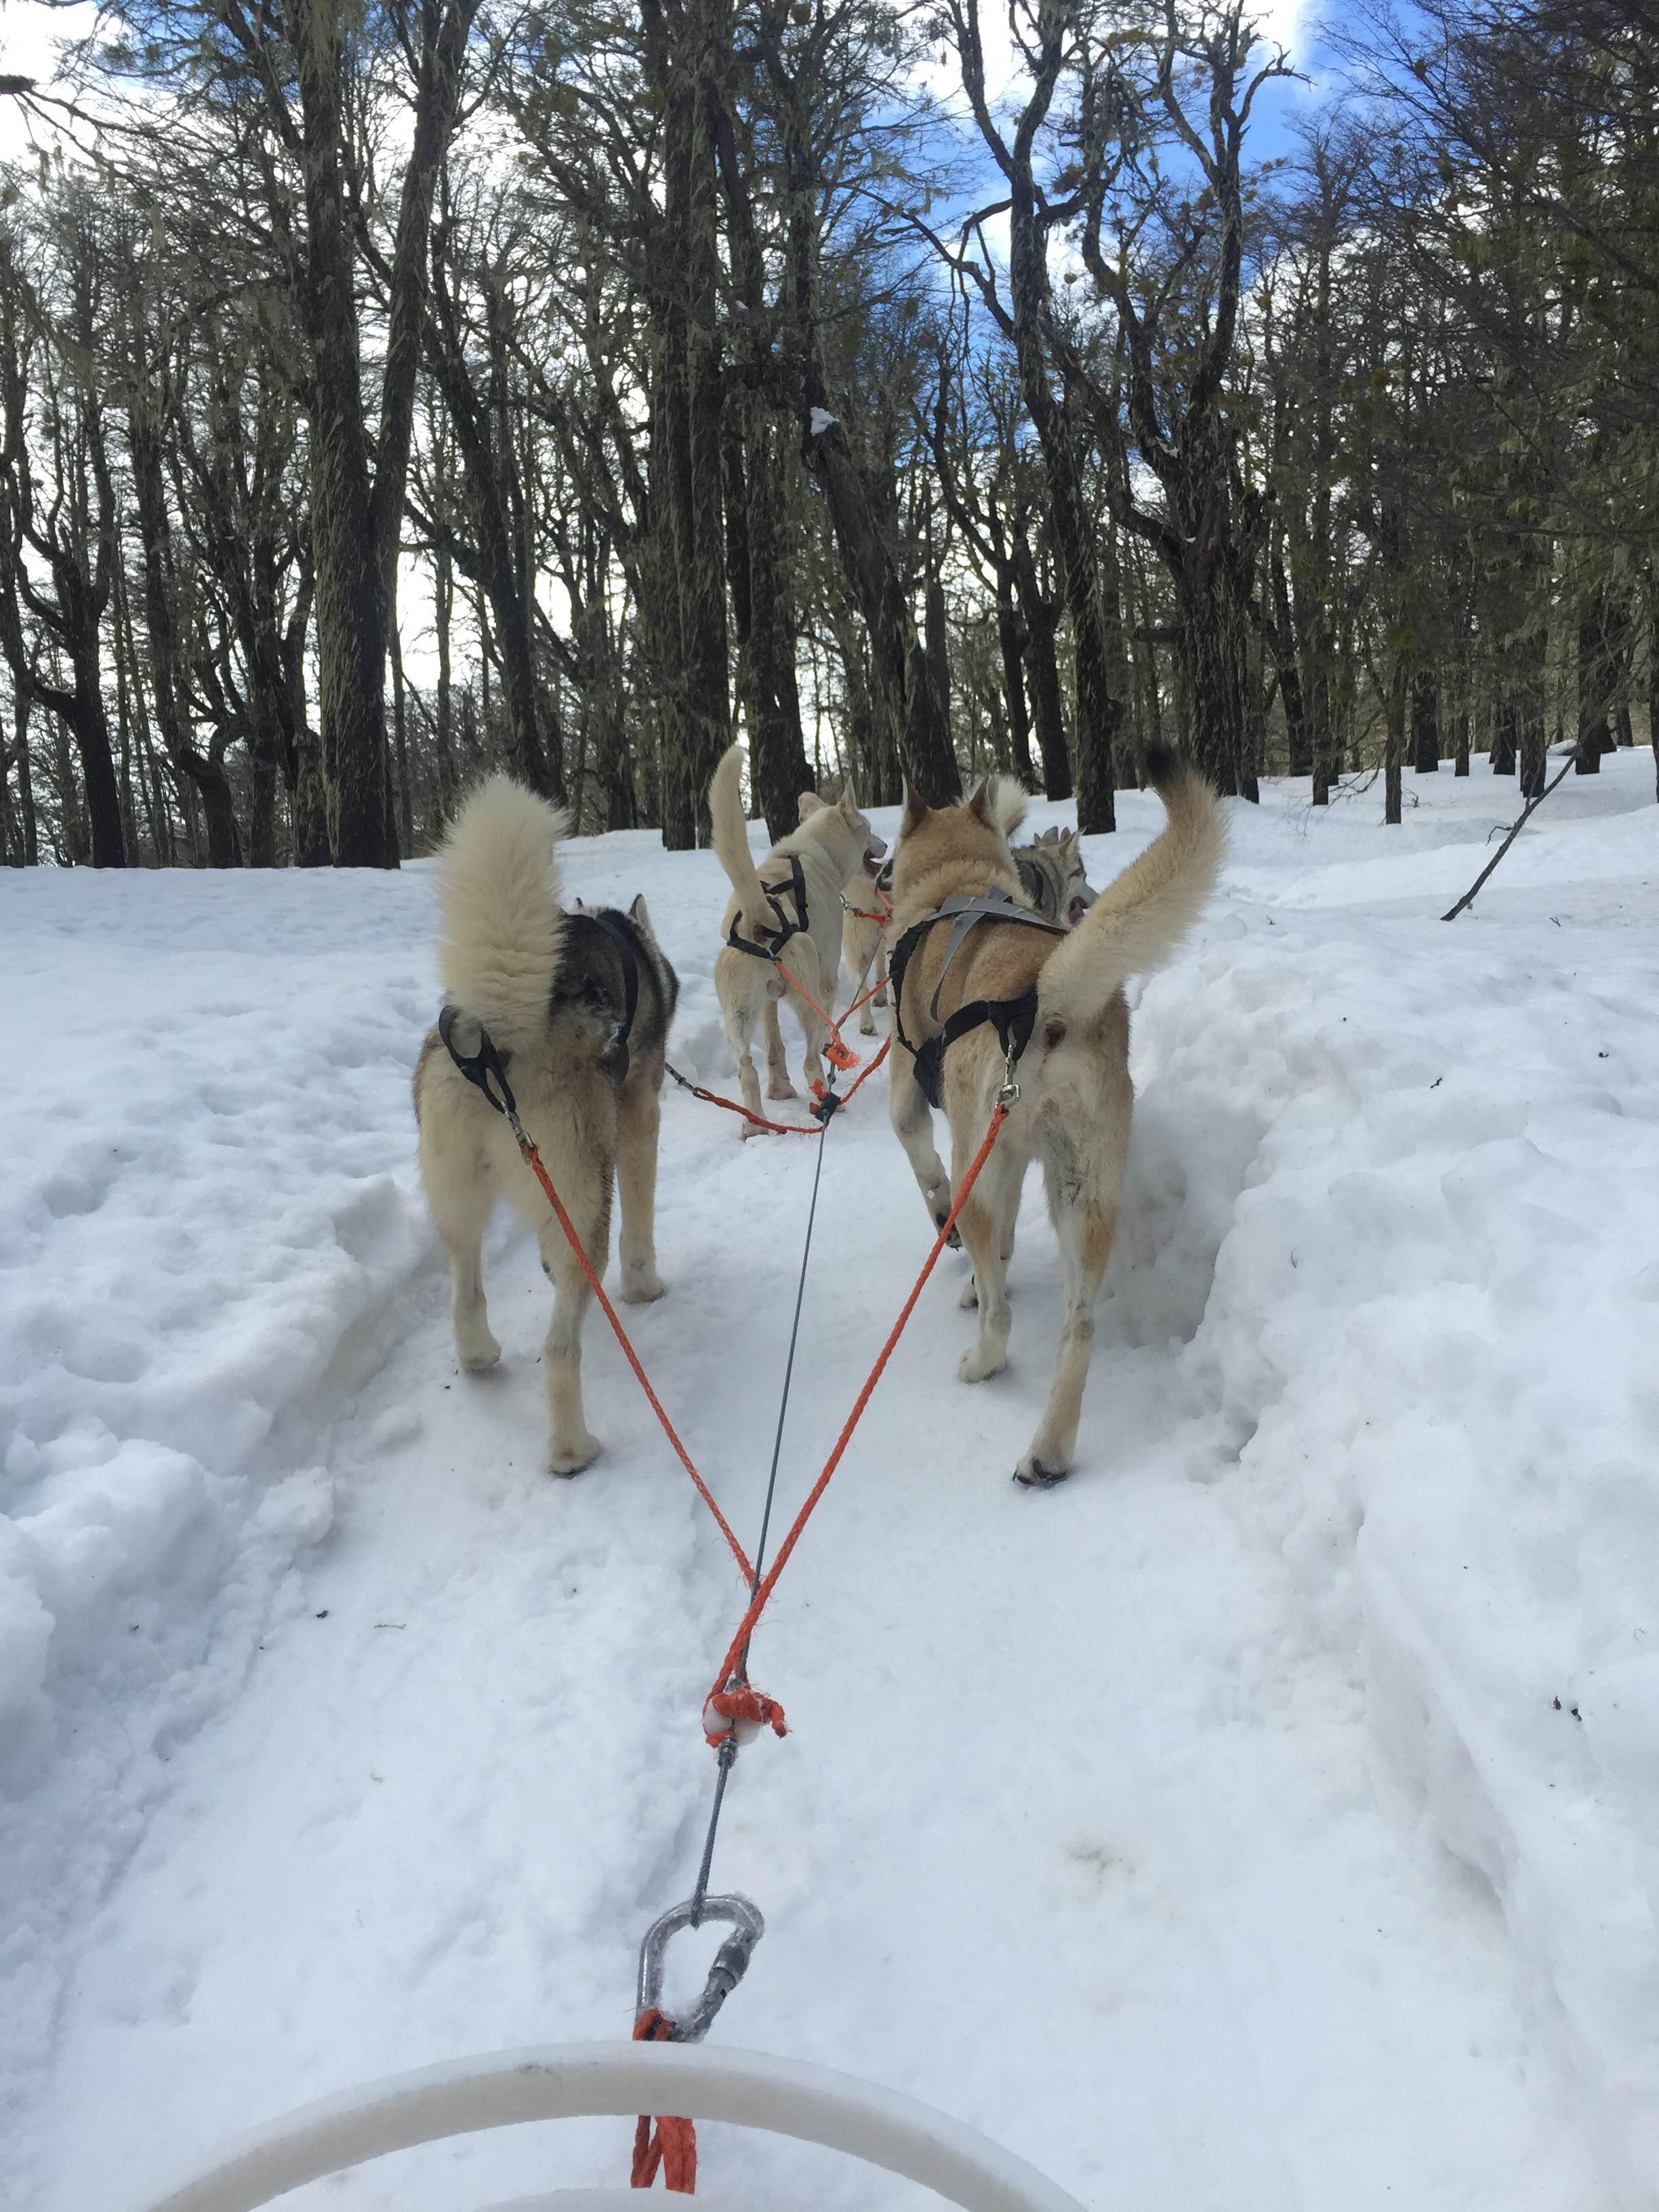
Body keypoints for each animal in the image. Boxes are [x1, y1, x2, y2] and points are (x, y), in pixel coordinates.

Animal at [413, 778, 676, 1469]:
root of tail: (495, 1038)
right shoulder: (639, 1120)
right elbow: (642, 1227)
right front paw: (645, 1287)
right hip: (585, 1205)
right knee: (560, 1348)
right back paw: (571, 1451)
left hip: (460, 1200)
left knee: (466, 1293)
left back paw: (480, 1355)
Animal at [712, 743, 889, 1132]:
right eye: (869, 828)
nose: (886, 845)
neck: (810, 855)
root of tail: (759, 915)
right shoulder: (826, 978)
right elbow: (826, 1030)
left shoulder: (769, 1000)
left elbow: (774, 1047)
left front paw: (780, 1089)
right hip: (807, 991)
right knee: (810, 1059)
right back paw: (827, 1099)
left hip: (737, 1015)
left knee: (747, 1067)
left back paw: (755, 1125)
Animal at [889, 747, 1229, 1486]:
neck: (954, 884)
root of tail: (1042, 997)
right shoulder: (1016, 1158)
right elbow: (1007, 1241)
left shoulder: (914, 1103)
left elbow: (924, 1167)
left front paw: (948, 1239)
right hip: (1082, 1189)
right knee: (1080, 1325)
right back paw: (1048, 1451)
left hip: (986, 1160)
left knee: (1000, 1312)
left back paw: (983, 1361)